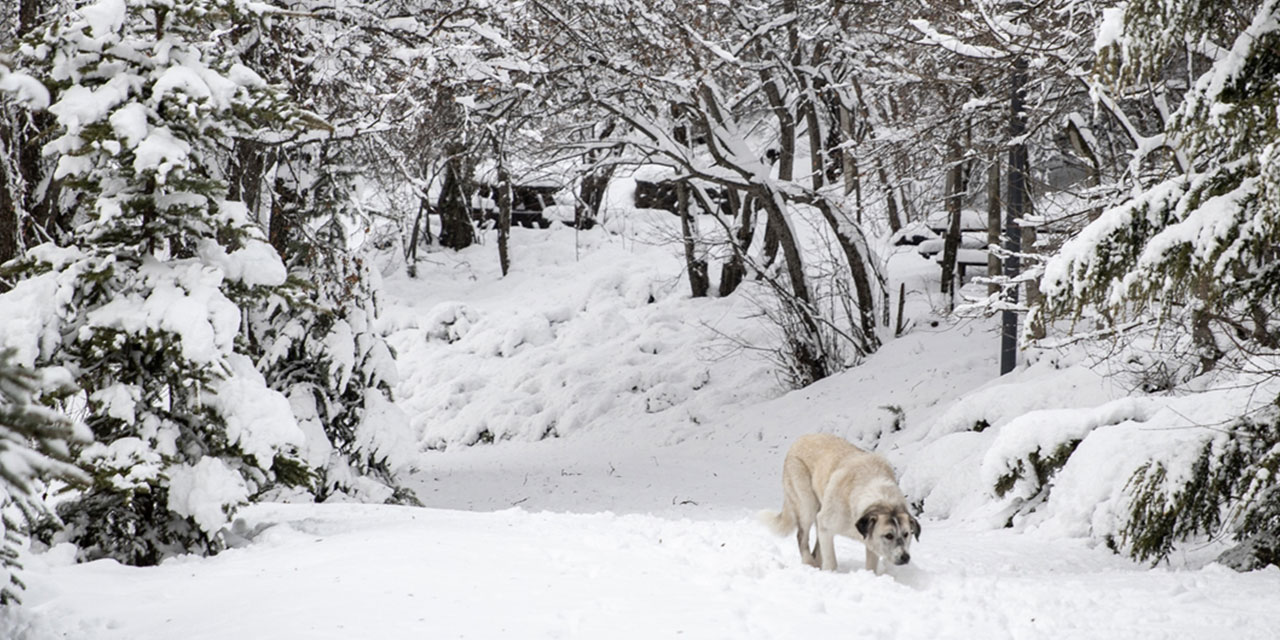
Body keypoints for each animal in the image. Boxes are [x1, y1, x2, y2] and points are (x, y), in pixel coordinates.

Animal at [757, 432, 921, 573]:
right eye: (889, 536)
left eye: (906, 534)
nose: (905, 557)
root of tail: (801, 438)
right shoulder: (826, 525)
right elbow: (831, 562)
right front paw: (830, 573)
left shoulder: (870, 542)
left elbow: (871, 567)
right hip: (807, 507)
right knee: (802, 538)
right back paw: (809, 564)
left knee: (816, 549)